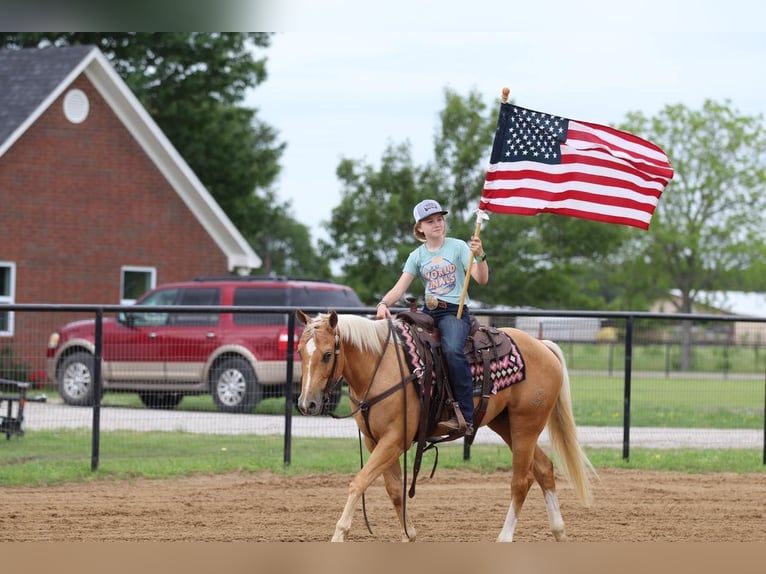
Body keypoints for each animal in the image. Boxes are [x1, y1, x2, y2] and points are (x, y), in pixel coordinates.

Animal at [296, 312, 600, 544]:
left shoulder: (395, 439)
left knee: (521, 480)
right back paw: (559, 532)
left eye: (327, 355)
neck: (381, 367)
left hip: (525, 425)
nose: (306, 404)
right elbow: (394, 490)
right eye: (300, 352)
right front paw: (408, 535)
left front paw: (339, 534)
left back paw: (505, 537)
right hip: (507, 425)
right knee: (544, 469)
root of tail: (542, 346)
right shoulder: (375, 441)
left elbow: (359, 481)